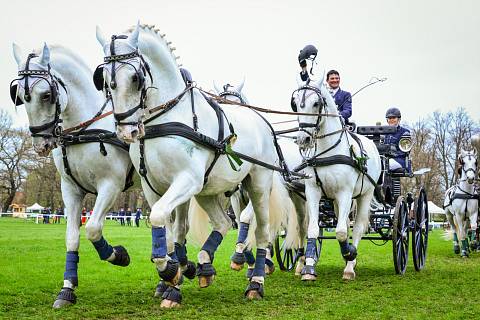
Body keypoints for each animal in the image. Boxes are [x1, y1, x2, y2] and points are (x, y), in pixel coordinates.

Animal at [10, 42, 133, 308]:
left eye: (47, 95)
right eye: (20, 96)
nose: (41, 145)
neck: (83, 131)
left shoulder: (111, 185)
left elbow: (93, 229)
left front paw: (119, 255)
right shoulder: (70, 189)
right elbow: (72, 238)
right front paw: (67, 289)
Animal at [95, 23, 278, 306]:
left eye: (136, 78)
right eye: (104, 80)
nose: (126, 132)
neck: (166, 117)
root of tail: (263, 121)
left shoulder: (186, 180)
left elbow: (159, 217)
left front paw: (171, 272)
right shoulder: (152, 187)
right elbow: (170, 235)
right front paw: (173, 280)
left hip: (258, 184)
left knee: (262, 232)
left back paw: (256, 283)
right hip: (208, 190)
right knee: (223, 222)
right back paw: (205, 265)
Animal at [213, 82, 308, 278]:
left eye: (238, 104)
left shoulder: (260, 192)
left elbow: (247, 218)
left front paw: (240, 255)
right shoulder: (236, 199)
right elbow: (243, 221)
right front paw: (250, 260)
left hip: (299, 198)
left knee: (301, 227)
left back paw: (301, 263)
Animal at [290, 75, 380, 280]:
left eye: (316, 103)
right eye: (296, 104)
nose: (303, 140)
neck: (327, 151)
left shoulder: (345, 193)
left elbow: (340, 232)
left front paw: (350, 254)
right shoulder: (313, 192)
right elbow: (313, 229)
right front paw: (308, 269)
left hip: (365, 194)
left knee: (357, 228)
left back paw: (350, 265)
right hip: (335, 200)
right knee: (345, 223)